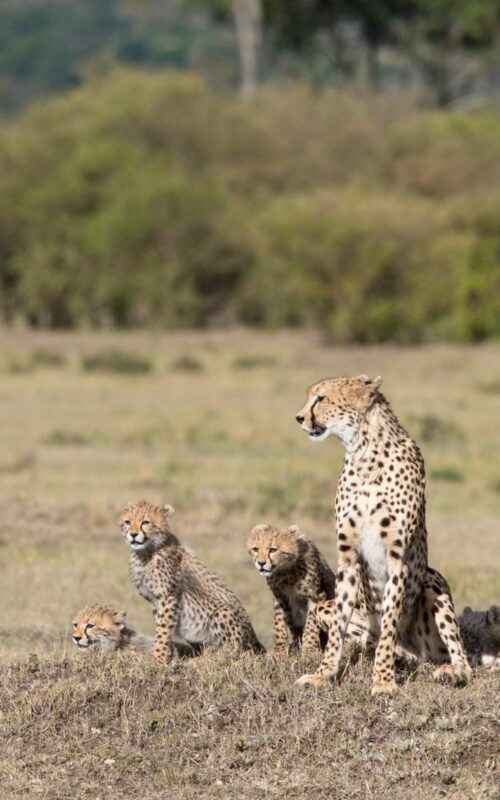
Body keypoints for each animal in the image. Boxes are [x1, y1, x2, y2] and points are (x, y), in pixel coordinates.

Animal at [120, 500, 264, 663]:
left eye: (145, 522)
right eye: (127, 522)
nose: (133, 534)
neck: (146, 553)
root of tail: (255, 640)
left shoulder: (168, 598)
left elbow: (162, 631)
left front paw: (159, 659)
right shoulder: (155, 601)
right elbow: (162, 628)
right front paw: (169, 655)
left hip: (222, 613)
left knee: (234, 651)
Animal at [247, 523, 336, 655]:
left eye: (273, 550)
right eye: (255, 549)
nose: (261, 563)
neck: (285, 570)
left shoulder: (316, 595)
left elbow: (311, 623)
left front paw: (309, 649)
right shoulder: (279, 596)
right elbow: (278, 623)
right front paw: (280, 651)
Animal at [294, 374, 471, 695]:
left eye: (321, 398)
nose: (299, 418)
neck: (364, 453)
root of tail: (416, 653)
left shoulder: (397, 560)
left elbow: (389, 623)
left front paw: (383, 681)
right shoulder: (348, 558)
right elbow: (338, 626)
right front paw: (323, 674)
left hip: (432, 580)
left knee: (460, 658)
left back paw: (450, 672)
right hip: (330, 607)